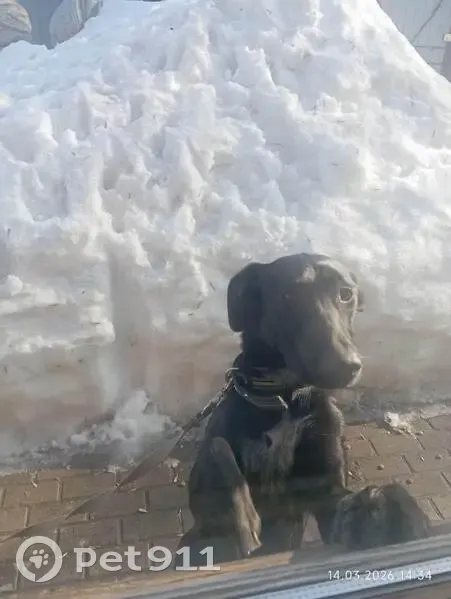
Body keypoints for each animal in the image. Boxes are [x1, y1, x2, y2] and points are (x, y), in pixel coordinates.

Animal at [174, 253, 428, 567]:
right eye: (289, 295)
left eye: (346, 294)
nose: (347, 366)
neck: (285, 400)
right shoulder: (204, 479)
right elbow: (216, 449)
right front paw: (240, 521)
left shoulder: (326, 490)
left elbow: (346, 505)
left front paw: (389, 509)